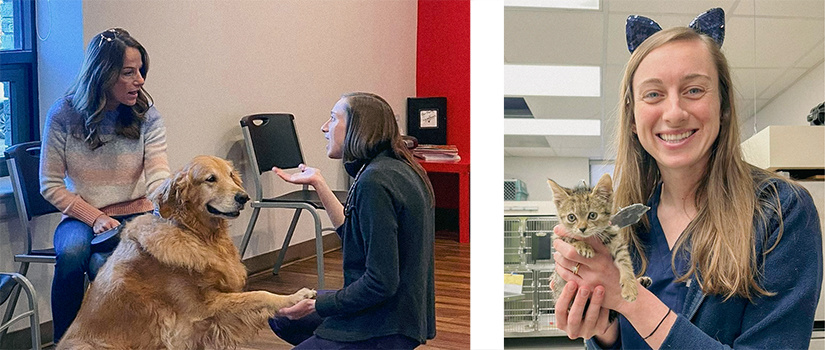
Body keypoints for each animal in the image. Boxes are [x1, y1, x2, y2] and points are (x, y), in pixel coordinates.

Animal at [58, 156, 316, 350]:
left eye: (230, 175)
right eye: (210, 179)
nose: (243, 197)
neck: (197, 234)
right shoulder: (200, 311)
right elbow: (259, 295)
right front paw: (296, 297)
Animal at [552, 174, 648, 318]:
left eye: (592, 215)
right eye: (571, 217)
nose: (582, 228)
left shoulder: (614, 238)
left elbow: (624, 260)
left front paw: (630, 287)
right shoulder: (558, 237)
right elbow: (570, 238)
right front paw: (584, 246)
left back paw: (642, 281)